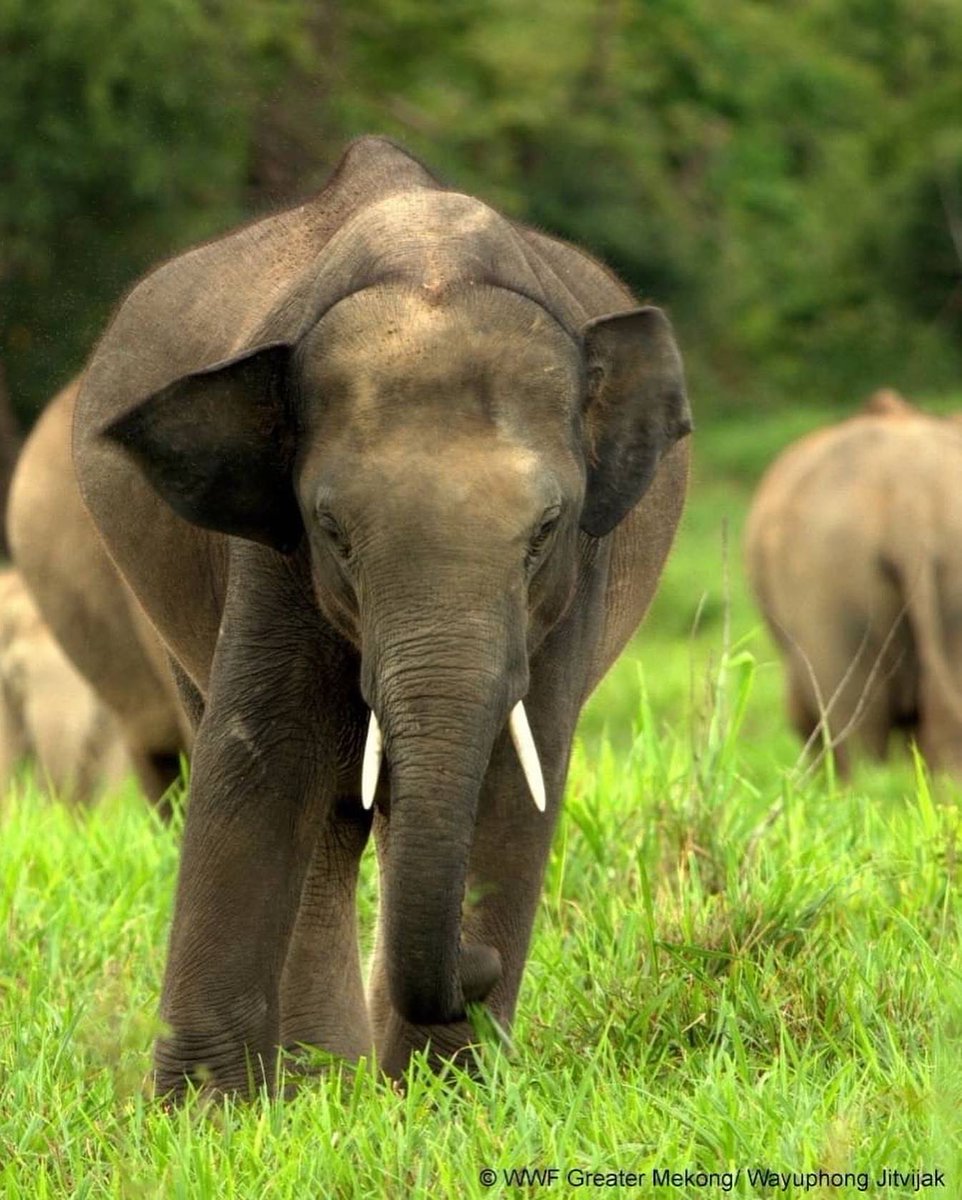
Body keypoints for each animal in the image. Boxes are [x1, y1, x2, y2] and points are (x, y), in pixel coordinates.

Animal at [70, 136, 691, 1097]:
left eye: (544, 530)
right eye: (334, 530)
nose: (475, 969)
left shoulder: (572, 588)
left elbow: (513, 786)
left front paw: (441, 1102)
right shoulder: (275, 556)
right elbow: (259, 761)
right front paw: (206, 1115)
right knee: (318, 808)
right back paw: (319, 1080)